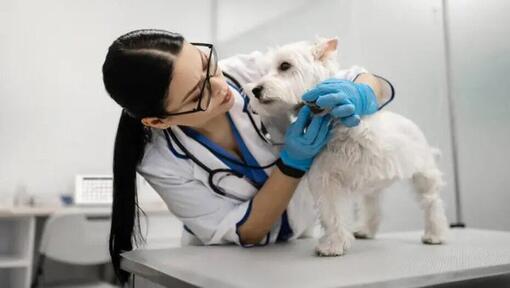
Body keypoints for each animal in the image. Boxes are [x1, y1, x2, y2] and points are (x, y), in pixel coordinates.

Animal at [245, 38, 448, 256]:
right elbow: (331, 213)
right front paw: (333, 244)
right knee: (372, 205)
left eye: (285, 65)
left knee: (431, 202)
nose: (255, 90)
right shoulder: (324, 178)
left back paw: (435, 234)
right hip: (373, 189)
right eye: (263, 71)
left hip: (423, 174)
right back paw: (366, 229)